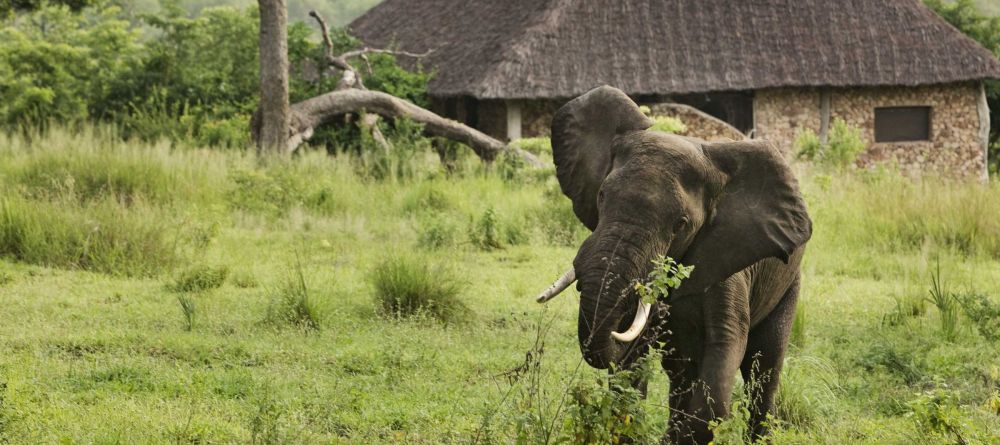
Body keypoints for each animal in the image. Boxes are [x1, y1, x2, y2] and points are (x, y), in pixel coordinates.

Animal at [534, 86, 812, 444]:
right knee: (682, 370)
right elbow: (630, 362)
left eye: (680, 224)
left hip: (789, 284)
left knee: (764, 365)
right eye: (601, 197)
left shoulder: (729, 261)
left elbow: (725, 348)